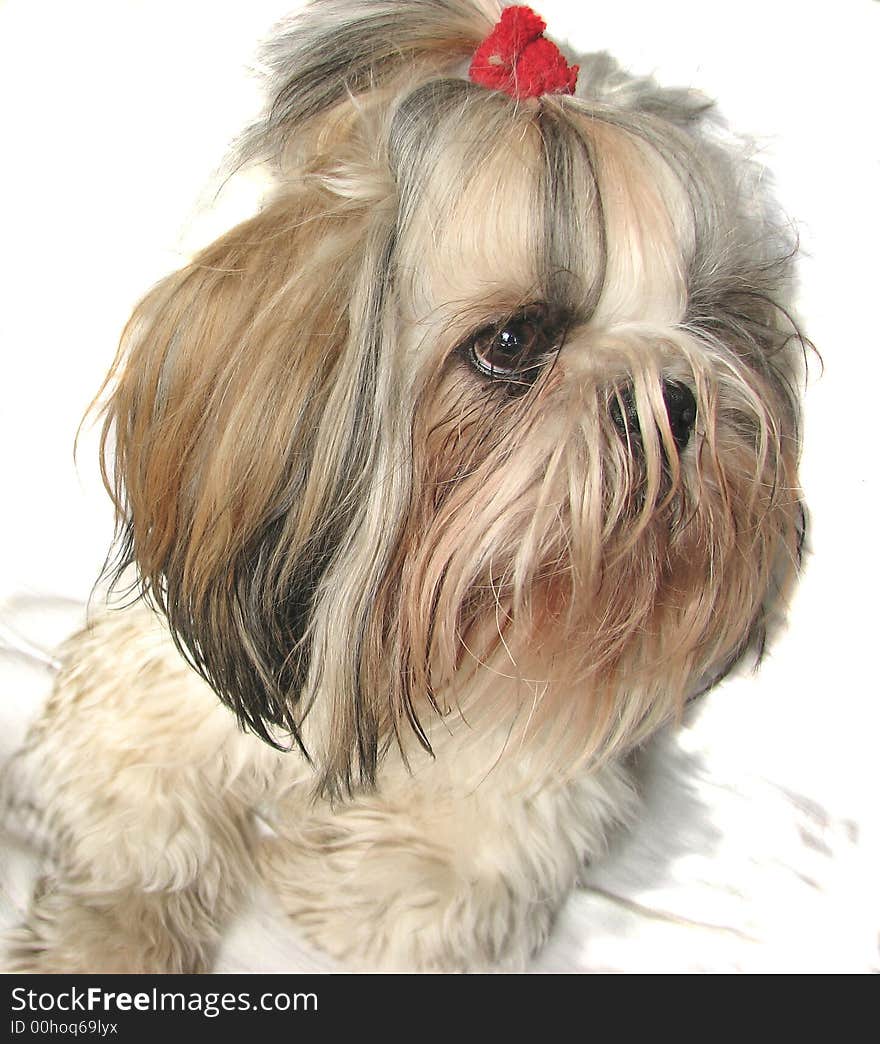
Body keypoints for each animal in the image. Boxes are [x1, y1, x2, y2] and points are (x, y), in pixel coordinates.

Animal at [1, 0, 805, 973]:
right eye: (511, 342)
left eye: (713, 322)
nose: (675, 401)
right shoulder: (145, 695)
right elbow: (141, 841)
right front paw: (101, 946)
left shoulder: (526, 793)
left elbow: (414, 892)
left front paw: (313, 861)